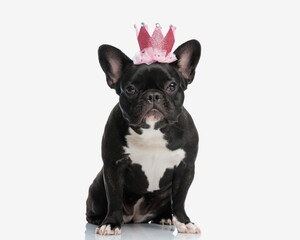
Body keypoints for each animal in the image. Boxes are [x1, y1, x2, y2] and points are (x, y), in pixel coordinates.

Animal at [85, 38, 200, 235]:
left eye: (172, 86)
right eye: (130, 89)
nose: (152, 95)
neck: (152, 130)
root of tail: (135, 217)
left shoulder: (186, 167)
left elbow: (179, 199)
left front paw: (184, 222)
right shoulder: (113, 166)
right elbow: (114, 198)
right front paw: (111, 223)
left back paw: (165, 218)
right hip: (98, 185)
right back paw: (100, 219)